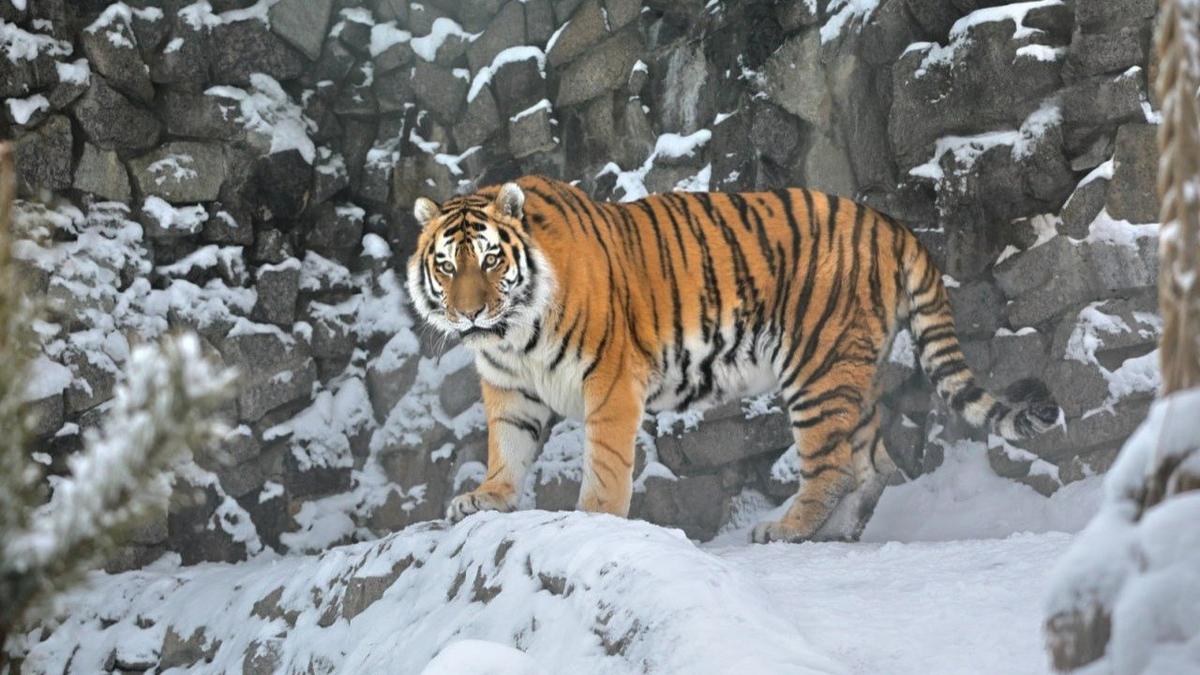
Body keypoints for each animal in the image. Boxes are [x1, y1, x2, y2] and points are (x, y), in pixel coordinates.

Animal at [405, 175, 1061, 543]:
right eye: (447, 265)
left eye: (491, 259)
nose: (469, 314)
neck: (512, 334)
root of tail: (890, 223)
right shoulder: (510, 389)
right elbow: (507, 448)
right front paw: (487, 497)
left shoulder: (610, 380)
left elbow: (607, 464)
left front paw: (593, 517)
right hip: (854, 370)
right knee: (874, 465)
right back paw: (837, 534)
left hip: (816, 367)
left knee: (834, 466)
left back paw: (786, 530)